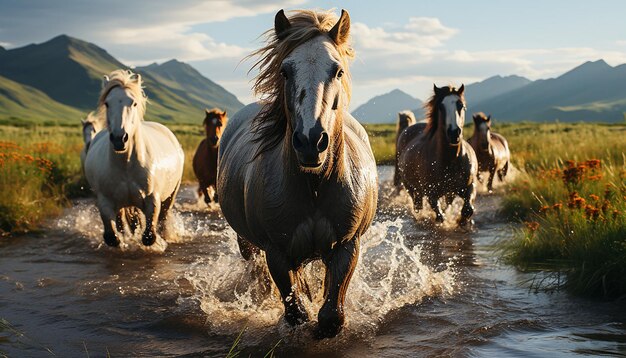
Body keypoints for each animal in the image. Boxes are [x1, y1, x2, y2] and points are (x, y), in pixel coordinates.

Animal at [217, 9, 376, 338]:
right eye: (285, 71)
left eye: (337, 71)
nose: (310, 141)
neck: (314, 186)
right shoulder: (277, 254)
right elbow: (296, 312)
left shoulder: (346, 247)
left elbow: (331, 316)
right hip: (247, 244)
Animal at [398, 84, 476, 225]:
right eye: (441, 106)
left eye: (461, 105)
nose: (454, 133)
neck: (451, 160)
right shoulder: (432, 195)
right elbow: (440, 216)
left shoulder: (468, 187)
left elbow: (468, 209)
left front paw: (462, 221)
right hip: (412, 189)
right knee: (418, 206)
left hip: (448, 192)